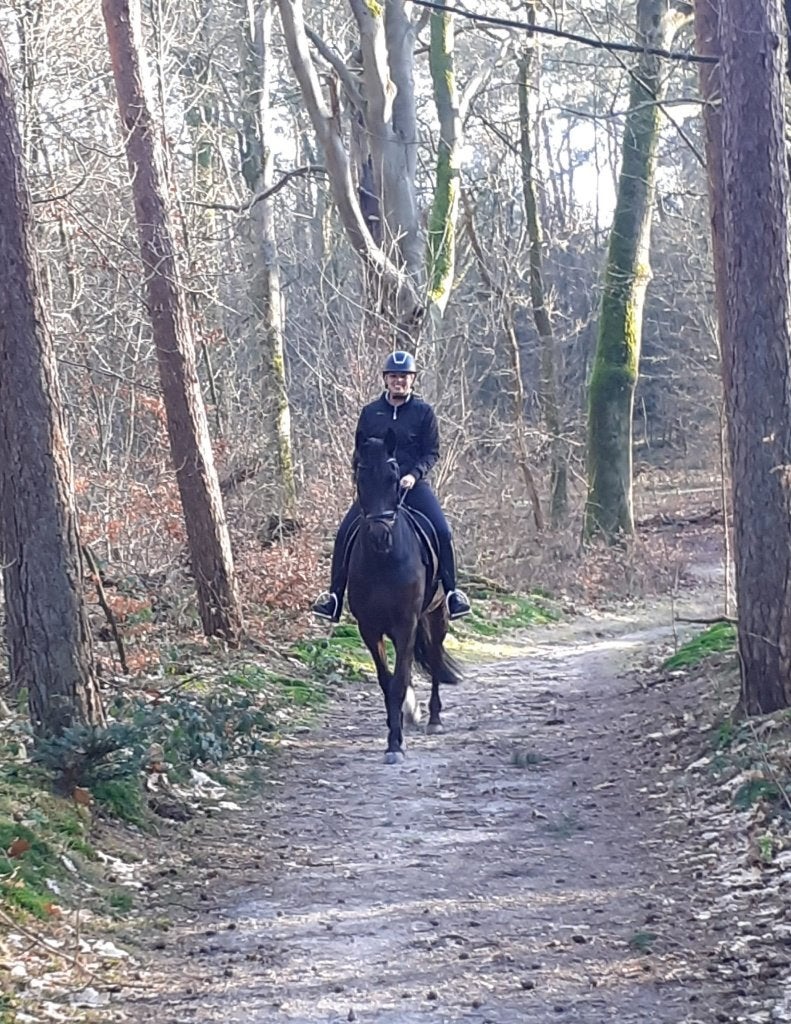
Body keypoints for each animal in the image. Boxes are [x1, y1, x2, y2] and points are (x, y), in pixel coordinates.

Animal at [347, 430, 462, 764]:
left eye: (394, 477)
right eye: (360, 477)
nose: (380, 536)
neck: (384, 561)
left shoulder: (406, 623)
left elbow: (398, 680)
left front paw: (395, 744)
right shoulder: (370, 628)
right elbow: (388, 681)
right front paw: (394, 728)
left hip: (436, 616)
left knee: (434, 659)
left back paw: (434, 719)